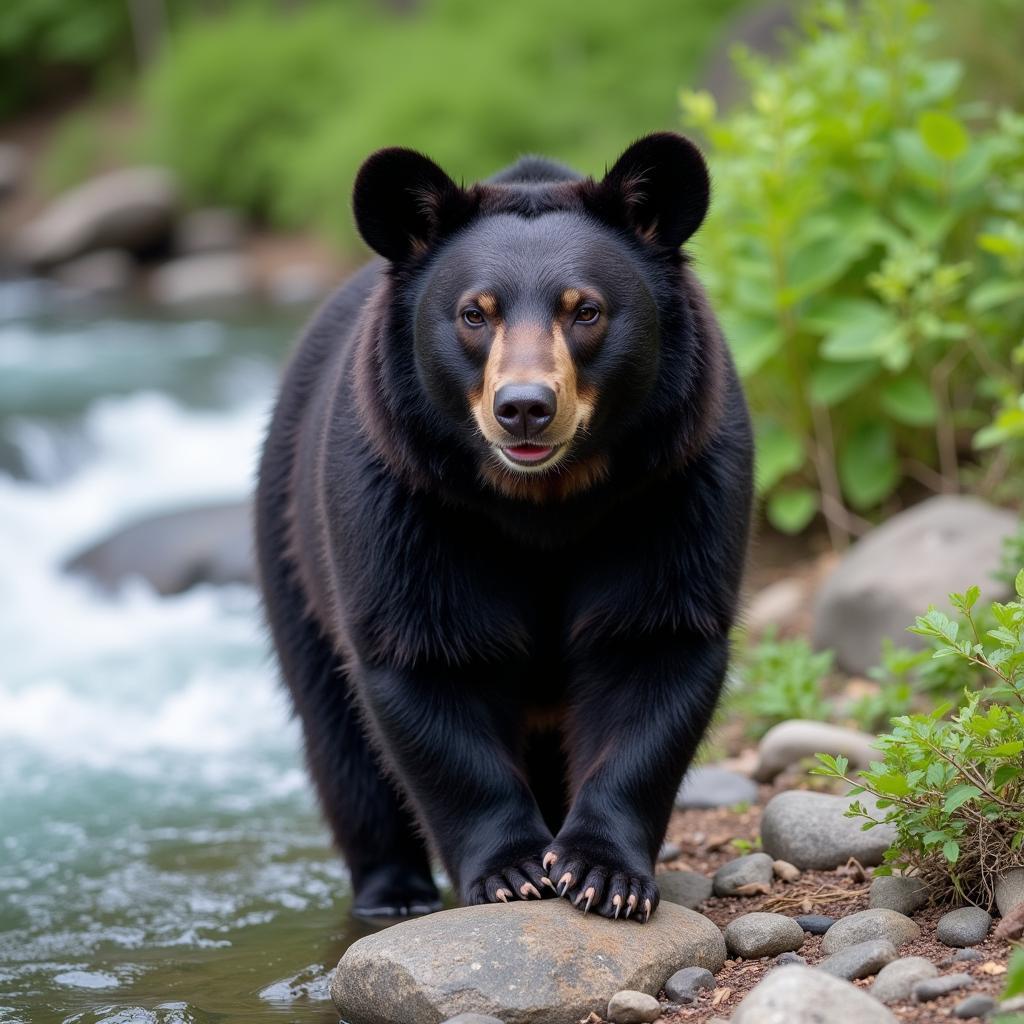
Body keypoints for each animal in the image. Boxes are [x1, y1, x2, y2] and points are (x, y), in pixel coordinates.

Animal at [256, 132, 753, 925]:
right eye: (474, 313)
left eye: (586, 310)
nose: (524, 407)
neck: (542, 498)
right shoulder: (407, 500)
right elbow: (426, 658)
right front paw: (513, 871)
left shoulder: (673, 484)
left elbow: (653, 644)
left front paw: (601, 872)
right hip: (292, 548)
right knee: (338, 739)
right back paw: (391, 891)